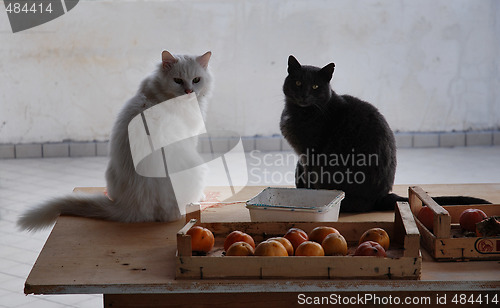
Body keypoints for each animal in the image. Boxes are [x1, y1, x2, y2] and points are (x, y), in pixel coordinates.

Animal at [18, 49, 211, 230]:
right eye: (178, 80)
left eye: (196, 80)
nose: (189, 91)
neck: (158, 93)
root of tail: (129, 206)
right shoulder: (191, 136)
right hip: (197, 165)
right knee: (171, 215)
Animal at [280, 55, 490, 212]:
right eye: (298, 82)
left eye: (315, 86)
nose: (304, 95)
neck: (298, 111)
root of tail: (383, 197)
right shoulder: (302, 157)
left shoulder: (310, 155)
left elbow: (310, 181)